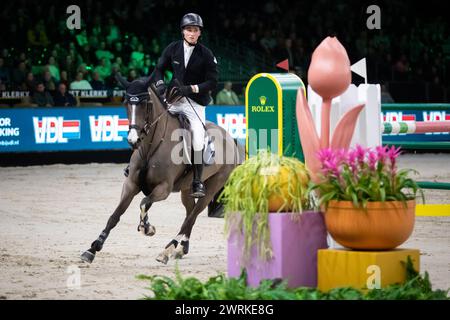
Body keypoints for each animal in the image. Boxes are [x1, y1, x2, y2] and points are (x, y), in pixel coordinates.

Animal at [81, 76, 243, 264]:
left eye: (145, 104)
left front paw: (147, 227)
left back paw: (167, 250)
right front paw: (92, 249)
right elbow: (115, 215)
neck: (151, 147)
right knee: (190, 213)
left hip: (211, 188)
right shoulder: (130, 185)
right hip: (186, 189)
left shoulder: (163, 189)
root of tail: (229, 137)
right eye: (126, 103)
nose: (133, 140)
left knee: (192, 216)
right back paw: (182, 249)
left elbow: (144, 202)